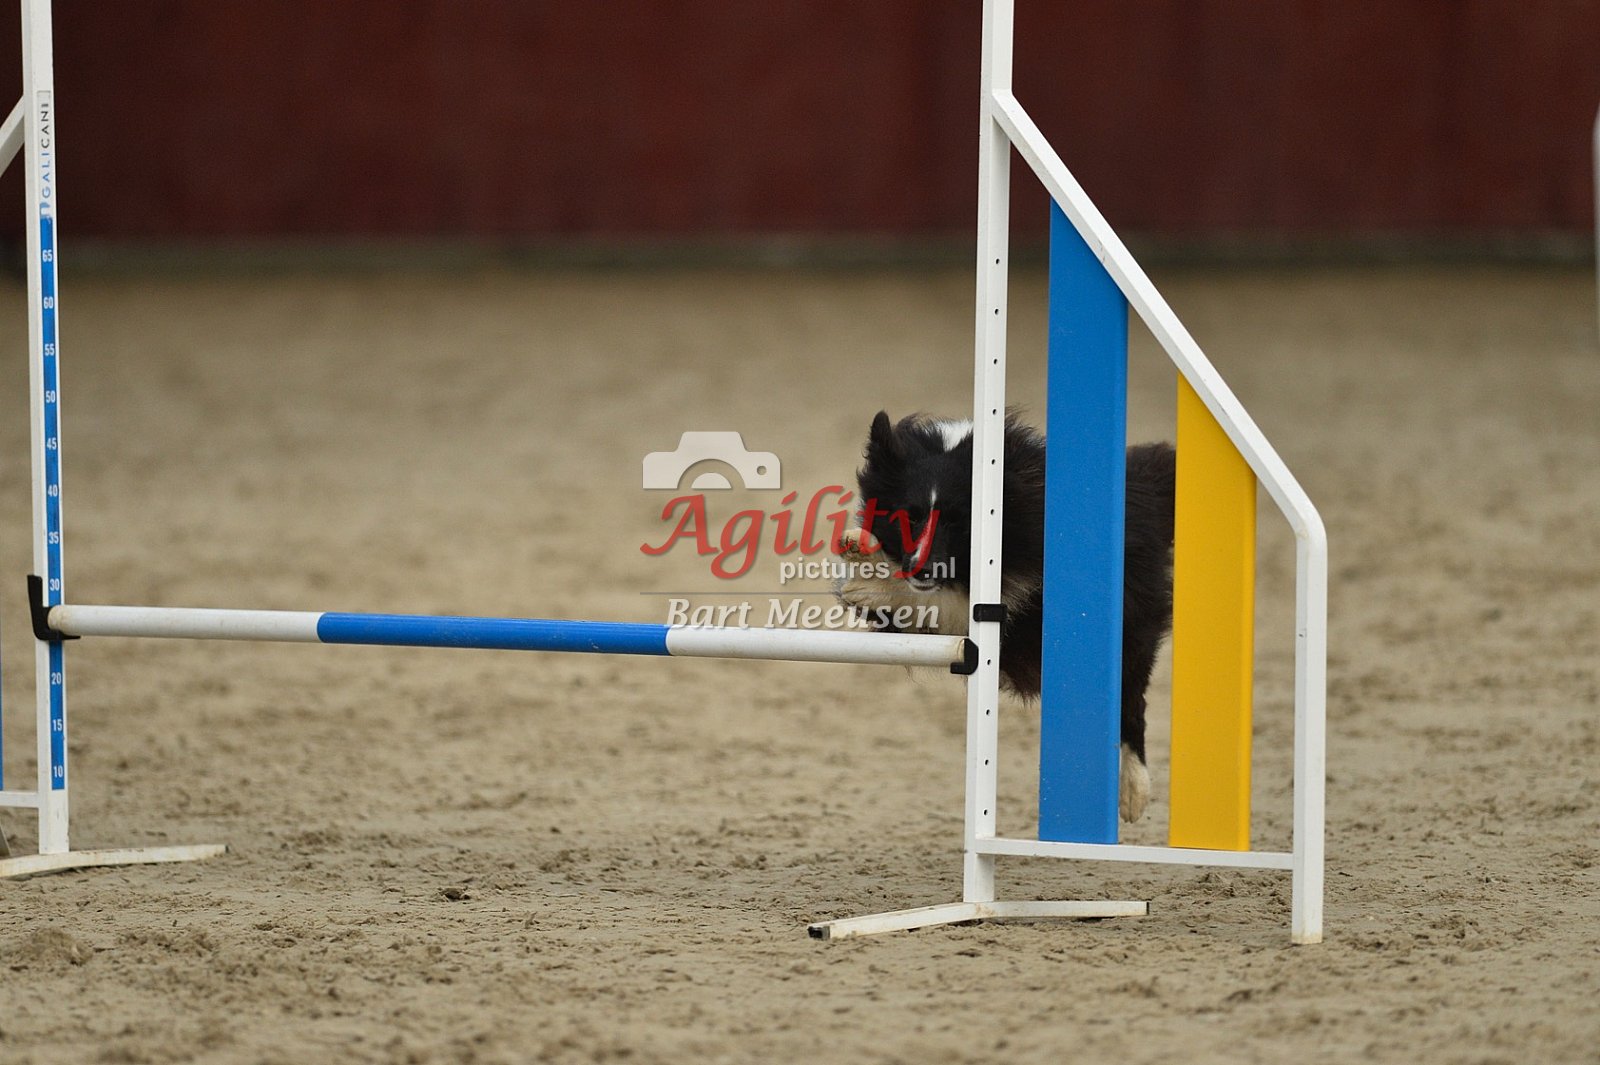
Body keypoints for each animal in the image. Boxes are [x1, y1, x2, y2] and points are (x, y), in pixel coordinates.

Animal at [834, 411, 1175, 823]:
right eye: (909, 518)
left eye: (958, 521)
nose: (922, 569)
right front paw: (862, 551)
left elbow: (953, 603)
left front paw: (870, 582)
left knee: (1131, 702)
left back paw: (1132, 792)